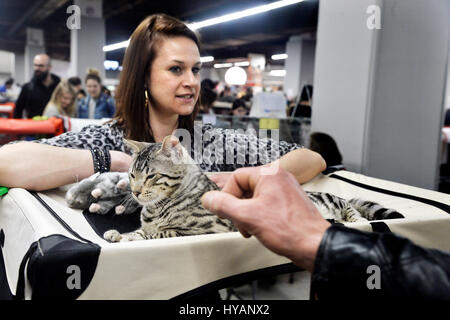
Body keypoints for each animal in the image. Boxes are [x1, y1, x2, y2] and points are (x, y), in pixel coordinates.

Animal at [66, 135, 404, 242]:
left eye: (151, 177)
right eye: (132, 176)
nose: (135, 192)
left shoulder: (206, 229)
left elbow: (159, 233)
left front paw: (130, 235)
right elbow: (141, 232)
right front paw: (121, 233)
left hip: (333, 201)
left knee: (350, 209)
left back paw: (356, 220)